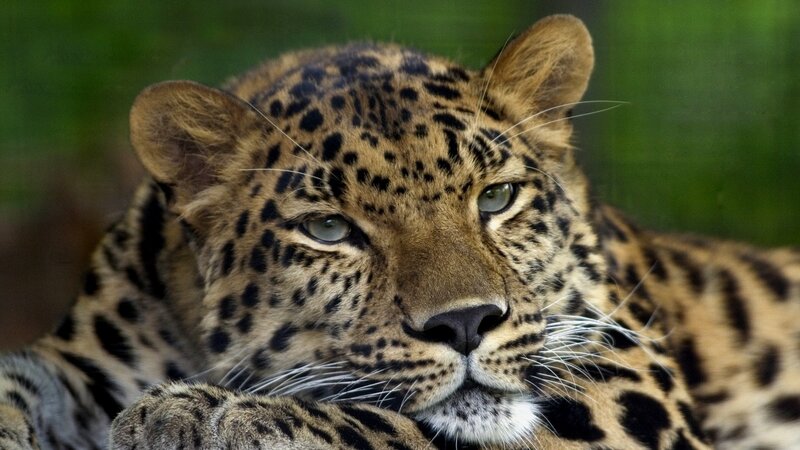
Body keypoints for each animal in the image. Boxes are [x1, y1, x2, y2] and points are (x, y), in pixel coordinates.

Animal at [1, 14, 799, 449]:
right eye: (329, 229)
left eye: (496, 197)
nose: (466, 323)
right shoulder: (82, 361)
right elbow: (19, 379)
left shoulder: (628, 389)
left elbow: (402, 426)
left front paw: (204, 415)